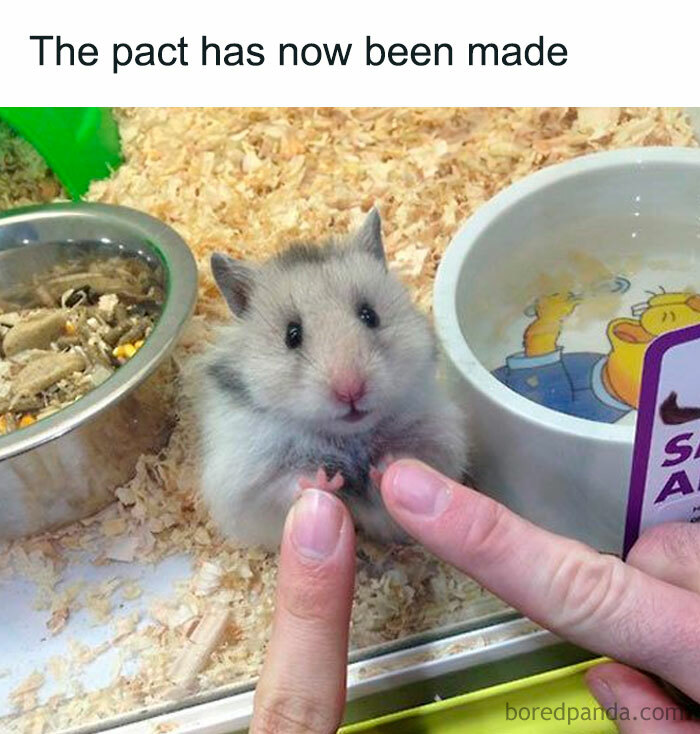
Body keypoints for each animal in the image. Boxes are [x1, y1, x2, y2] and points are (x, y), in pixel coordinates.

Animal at [194, 209, 467, 549]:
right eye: (292, 335)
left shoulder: (442, 437)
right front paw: (326, 479)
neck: (348, 436)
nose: (351, 391)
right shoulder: (247, 480)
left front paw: (386, 463)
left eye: (369, 315)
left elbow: (416, 456)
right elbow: (287, 484)